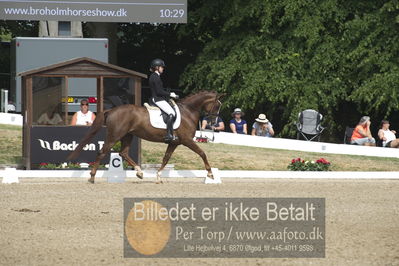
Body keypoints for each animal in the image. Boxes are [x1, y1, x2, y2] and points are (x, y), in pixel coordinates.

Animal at [69, 91, 225, 183]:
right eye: (217, 106)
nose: (213, 123)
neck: (188, 111)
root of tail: (111, 110)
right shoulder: (187, 140)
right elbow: (202, 153)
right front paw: (211, 174)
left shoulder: (174, 142)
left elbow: (166, 158)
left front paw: (158, 176)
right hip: (115, 136)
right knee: (102, 152)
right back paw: (92, 177)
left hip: (127, 136)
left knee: (123, 153)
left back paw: (139, 172)